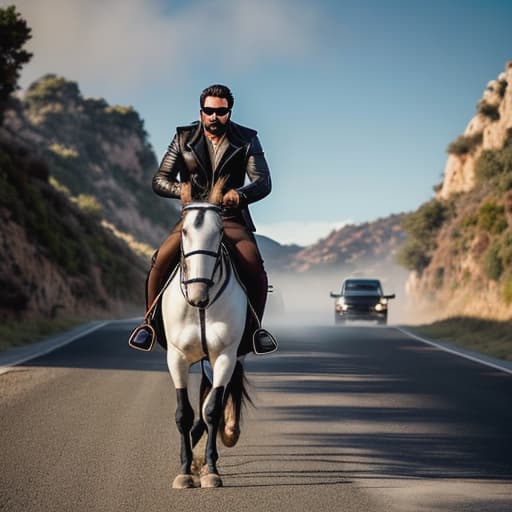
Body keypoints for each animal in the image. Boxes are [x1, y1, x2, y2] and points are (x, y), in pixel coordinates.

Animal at [158, 180, 250, 488]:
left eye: (219, 231)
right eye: (185, 231)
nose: (198, 295)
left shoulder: (224, 356)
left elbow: (212, 410)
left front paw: (210, 469)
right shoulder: (176, 358)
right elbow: (183, 413)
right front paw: (186, 470)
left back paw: (229, 432)